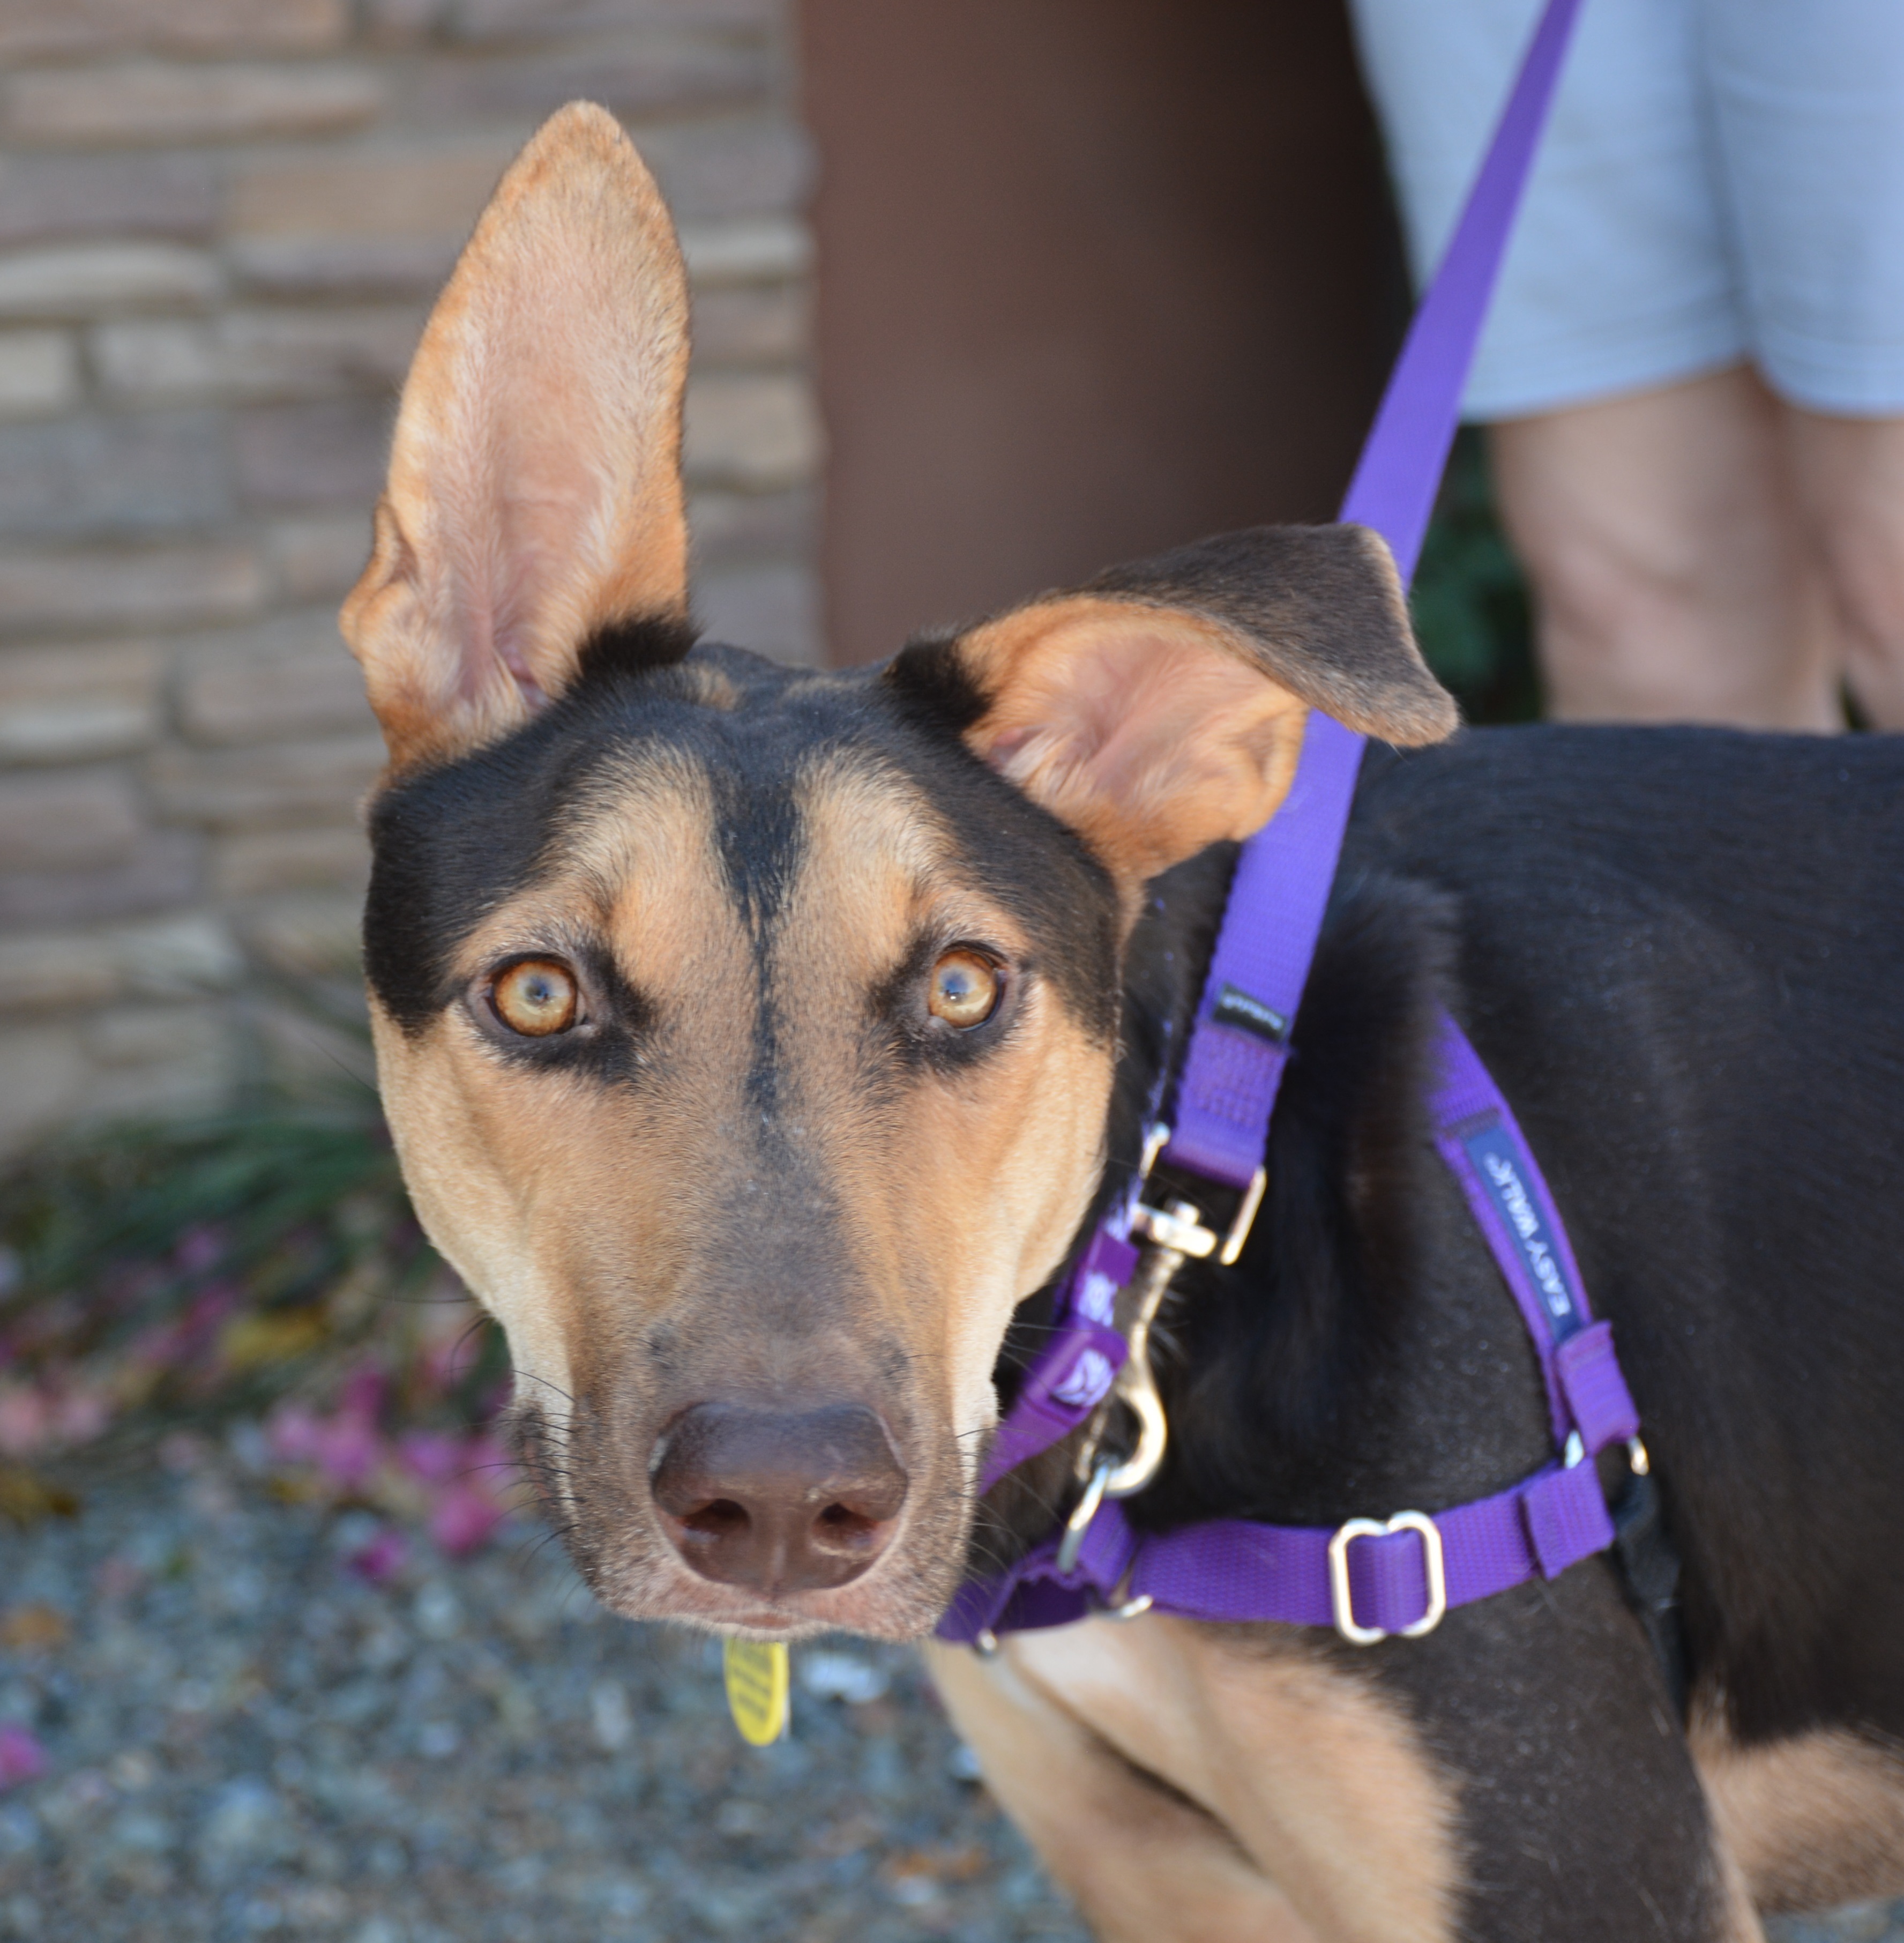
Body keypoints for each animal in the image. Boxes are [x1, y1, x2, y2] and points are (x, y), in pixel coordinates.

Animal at [338, 106, 1904, 1943]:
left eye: (960, 983)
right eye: (540, 993)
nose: (784, 1504)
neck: (1175, 1250)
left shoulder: (1584, 1874)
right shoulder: (1151, 1868)